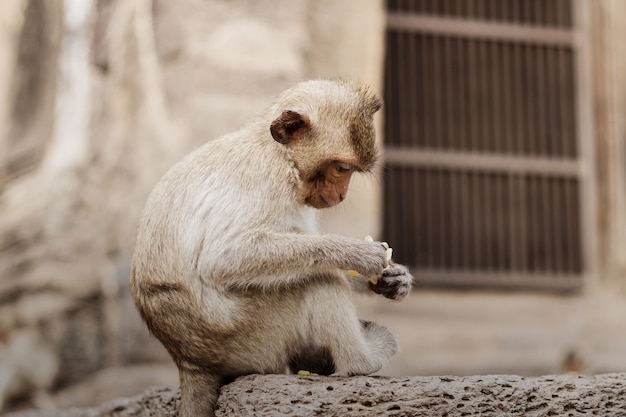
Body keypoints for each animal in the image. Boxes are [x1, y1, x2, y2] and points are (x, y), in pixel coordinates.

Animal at [129, 79, 412, 416]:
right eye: (342, 168)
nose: (342, 194)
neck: (280, 153)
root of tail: (190, 362)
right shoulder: (267, 178)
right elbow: (222, 258)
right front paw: (357, 253)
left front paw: (393, 279)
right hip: (250, 336)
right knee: (316, 280)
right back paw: (361, 361)